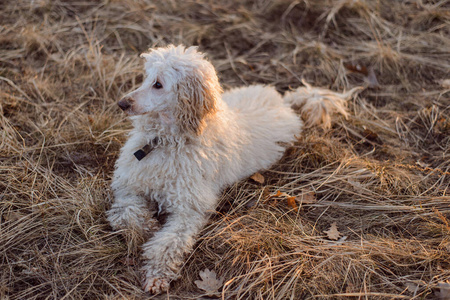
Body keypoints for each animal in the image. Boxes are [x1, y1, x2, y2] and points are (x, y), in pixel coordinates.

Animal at [105, 44, 358, 292]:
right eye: (146, 78)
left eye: (158, 84)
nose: (122, 103)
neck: (165, 142)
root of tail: (283, 102)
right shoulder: (129, 186)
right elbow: (124, 214)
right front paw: (147, 227)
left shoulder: (190, 209)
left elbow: (168, 243)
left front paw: (157, 274)